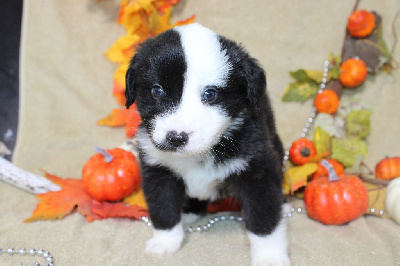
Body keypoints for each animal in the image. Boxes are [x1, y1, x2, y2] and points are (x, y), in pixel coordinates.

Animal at [126, 23, 290, 266]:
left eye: (210, 94)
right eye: (157, 90)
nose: (176, 137)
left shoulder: (257, 170)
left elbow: (263, 218)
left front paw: (270, 256)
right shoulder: (157, 169)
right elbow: (163, 208)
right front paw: (165, 242)